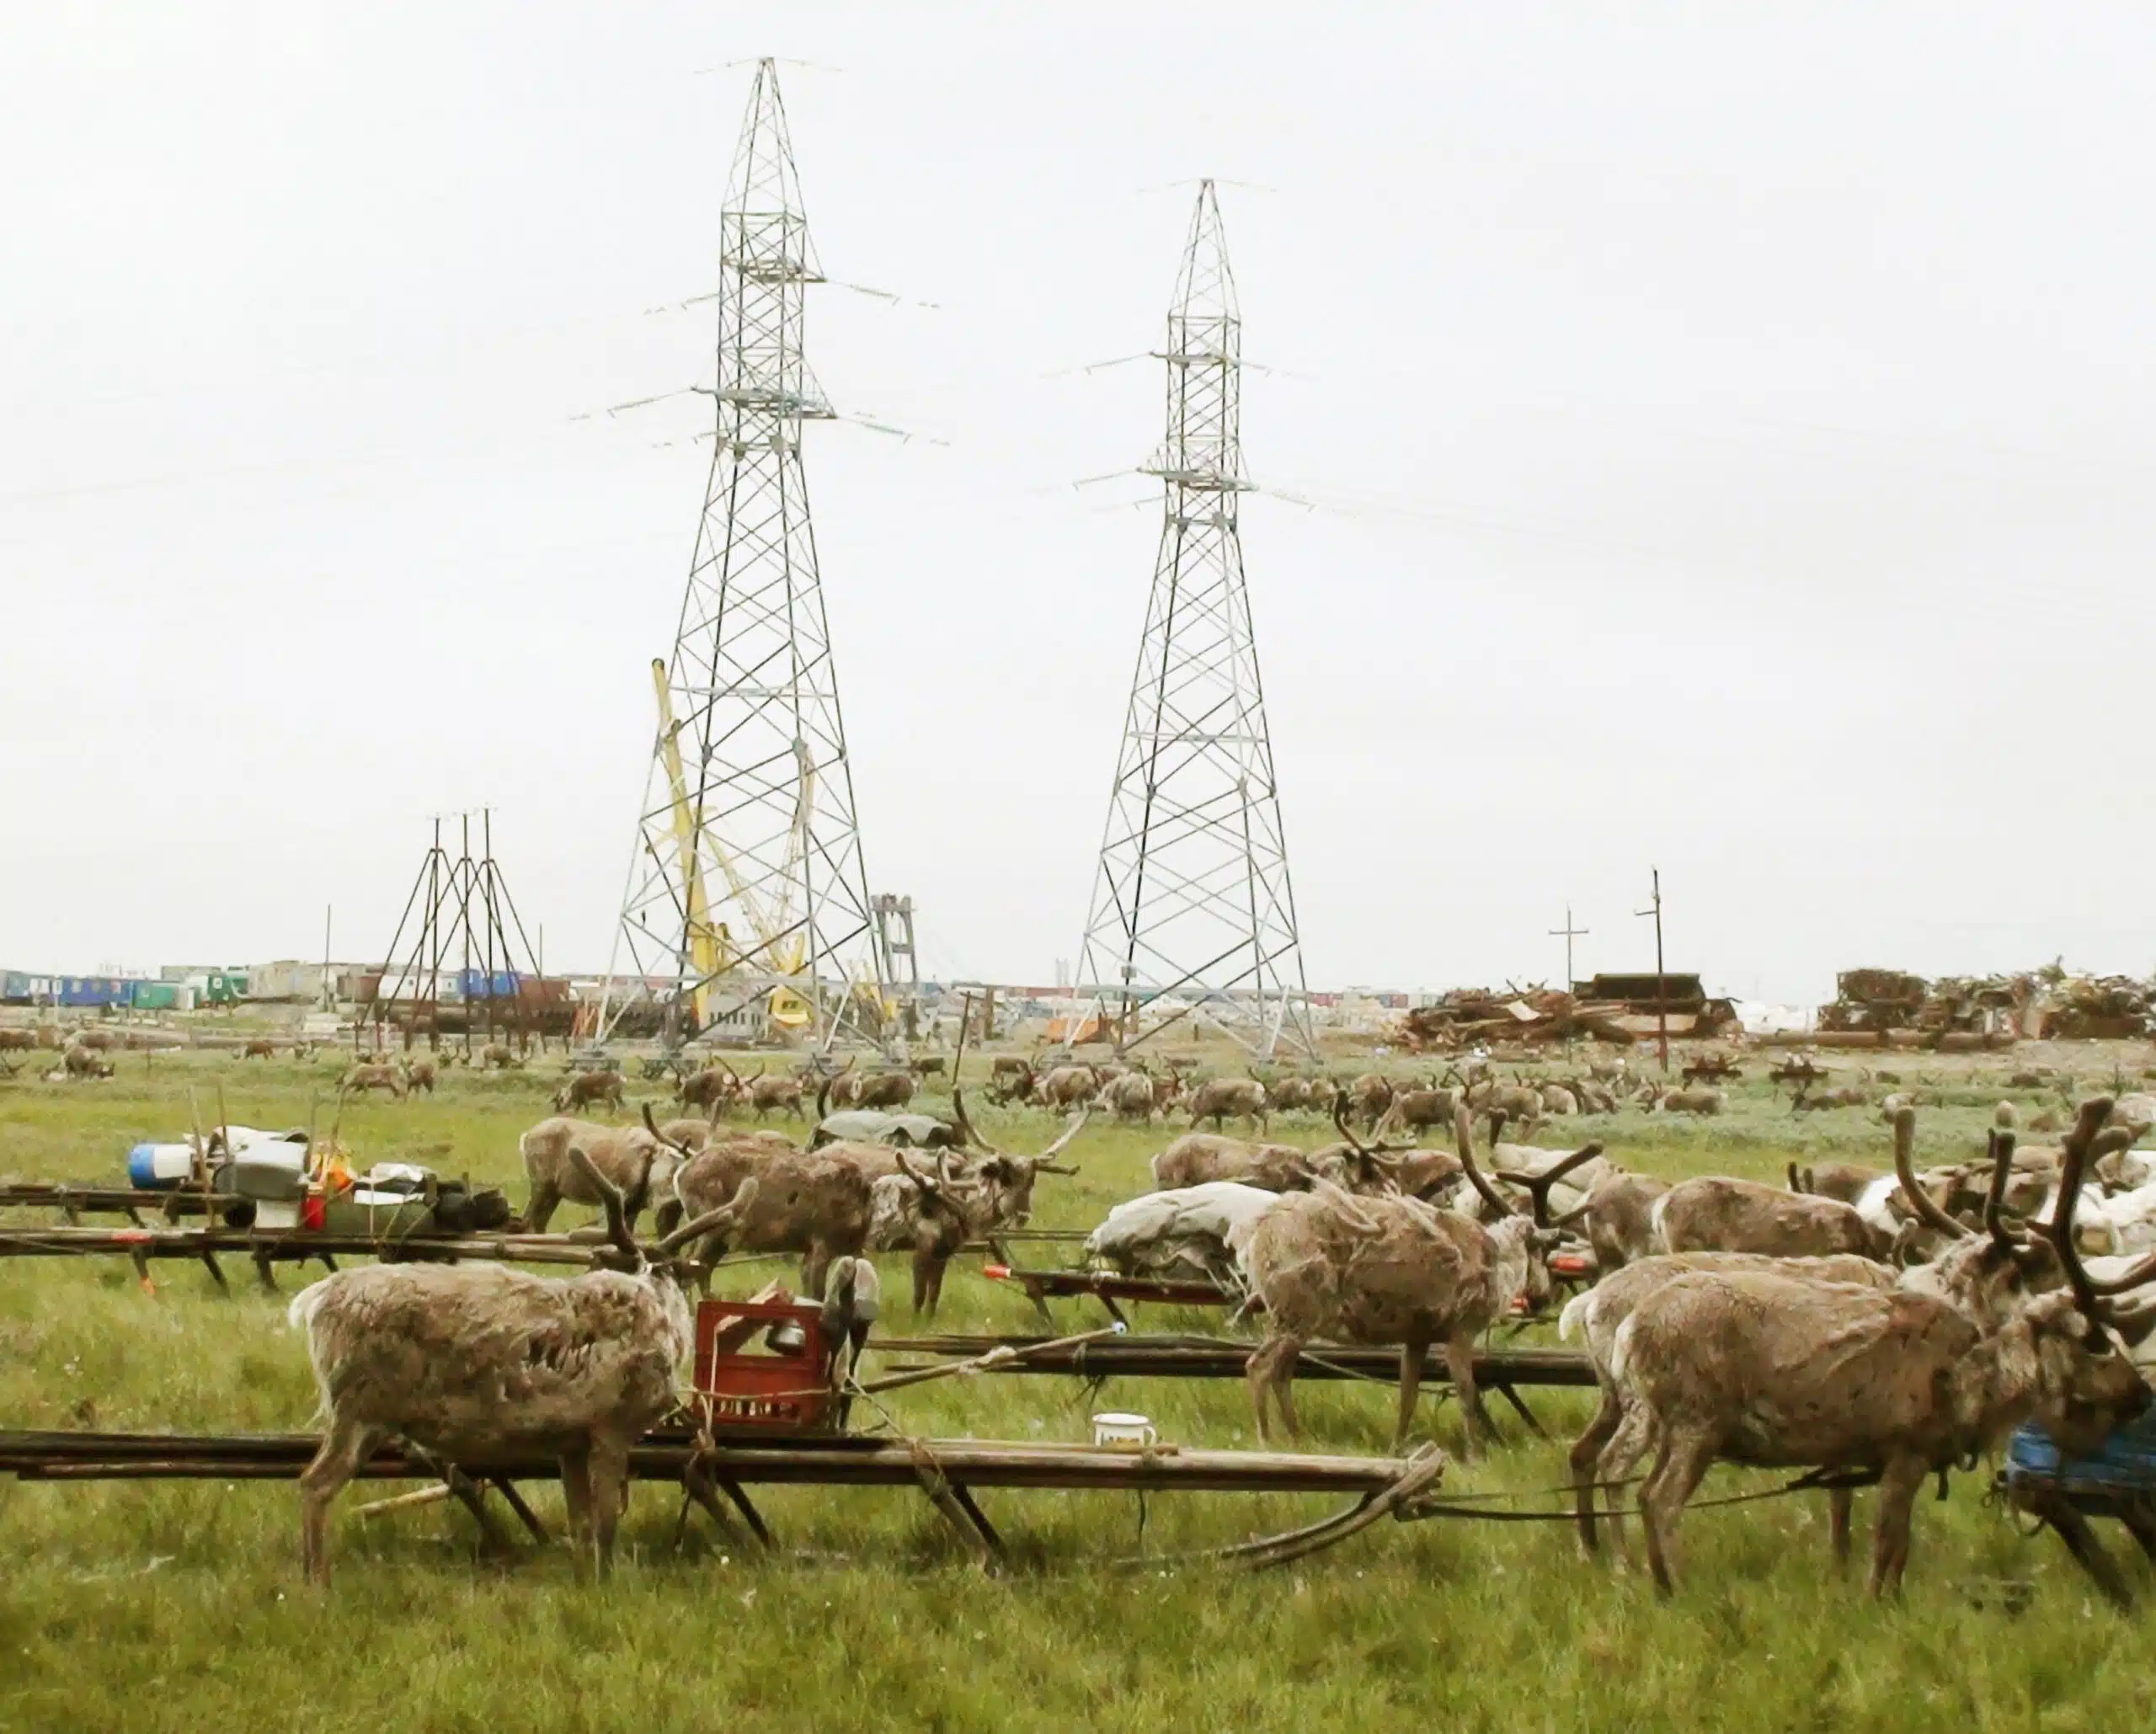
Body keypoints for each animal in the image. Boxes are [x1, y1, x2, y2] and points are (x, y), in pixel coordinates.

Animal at [287, 1149, 757, 1584]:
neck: (660, 1316)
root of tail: (314, 1303)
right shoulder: (611, 1427)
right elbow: (605, 1528)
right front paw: (606, 1585)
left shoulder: (571, 1441)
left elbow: (580, 1526)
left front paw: (584, 1583)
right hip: (359, 1408)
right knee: (315, 1483)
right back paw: (316, 1584)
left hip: (366, 1415)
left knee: (312, 1480)